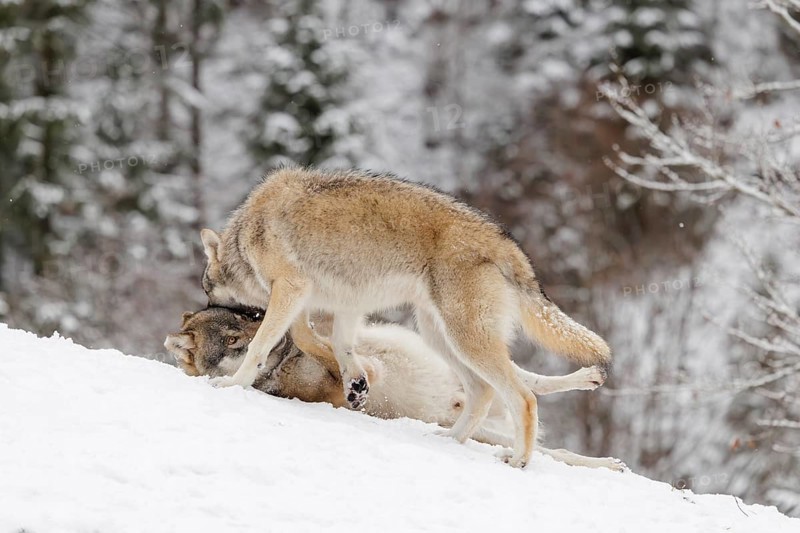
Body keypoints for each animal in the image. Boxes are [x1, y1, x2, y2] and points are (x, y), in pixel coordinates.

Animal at [165, 306, 623, 471]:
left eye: (248, 318)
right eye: (231, 340)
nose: (266, 327)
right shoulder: (346, 379)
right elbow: (339, 357)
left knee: (528, 384)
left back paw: (591, 379)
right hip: (485, 426)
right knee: (544, 438)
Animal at [199, 167, 611, 467]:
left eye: (207, 290)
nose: (202, 307)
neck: (246, 235)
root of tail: (504, 240)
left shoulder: (292, 289)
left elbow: (264, 344)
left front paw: (234, 383)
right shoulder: (342, 303)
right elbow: (331, 343)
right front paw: (356, 381)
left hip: (464, 340)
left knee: (522, 397)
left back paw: (519, 461)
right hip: (437, 336)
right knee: (484, 392)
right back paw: (450, 440)